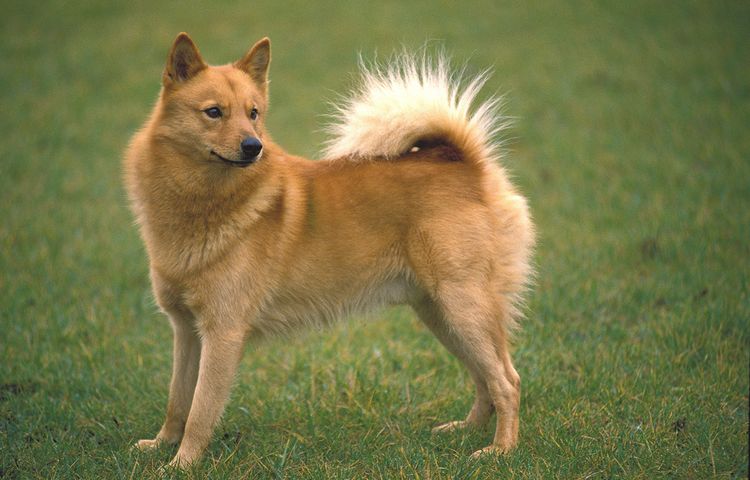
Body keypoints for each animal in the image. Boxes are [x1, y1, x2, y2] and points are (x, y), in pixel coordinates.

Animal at [125, 31, 536, 466]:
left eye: (253, 113)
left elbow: (201, 411)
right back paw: (466, 430)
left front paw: (181, 463)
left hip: (463, 307)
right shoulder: (186, 330)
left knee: (506, 381)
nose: (253, 146)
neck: (203, 202)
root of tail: (464, 163)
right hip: (440, 314)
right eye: (214, 112)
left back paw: (500, 450)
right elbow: (178, 400)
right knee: (483, 378)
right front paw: (161, 444)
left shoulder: (222, 334)